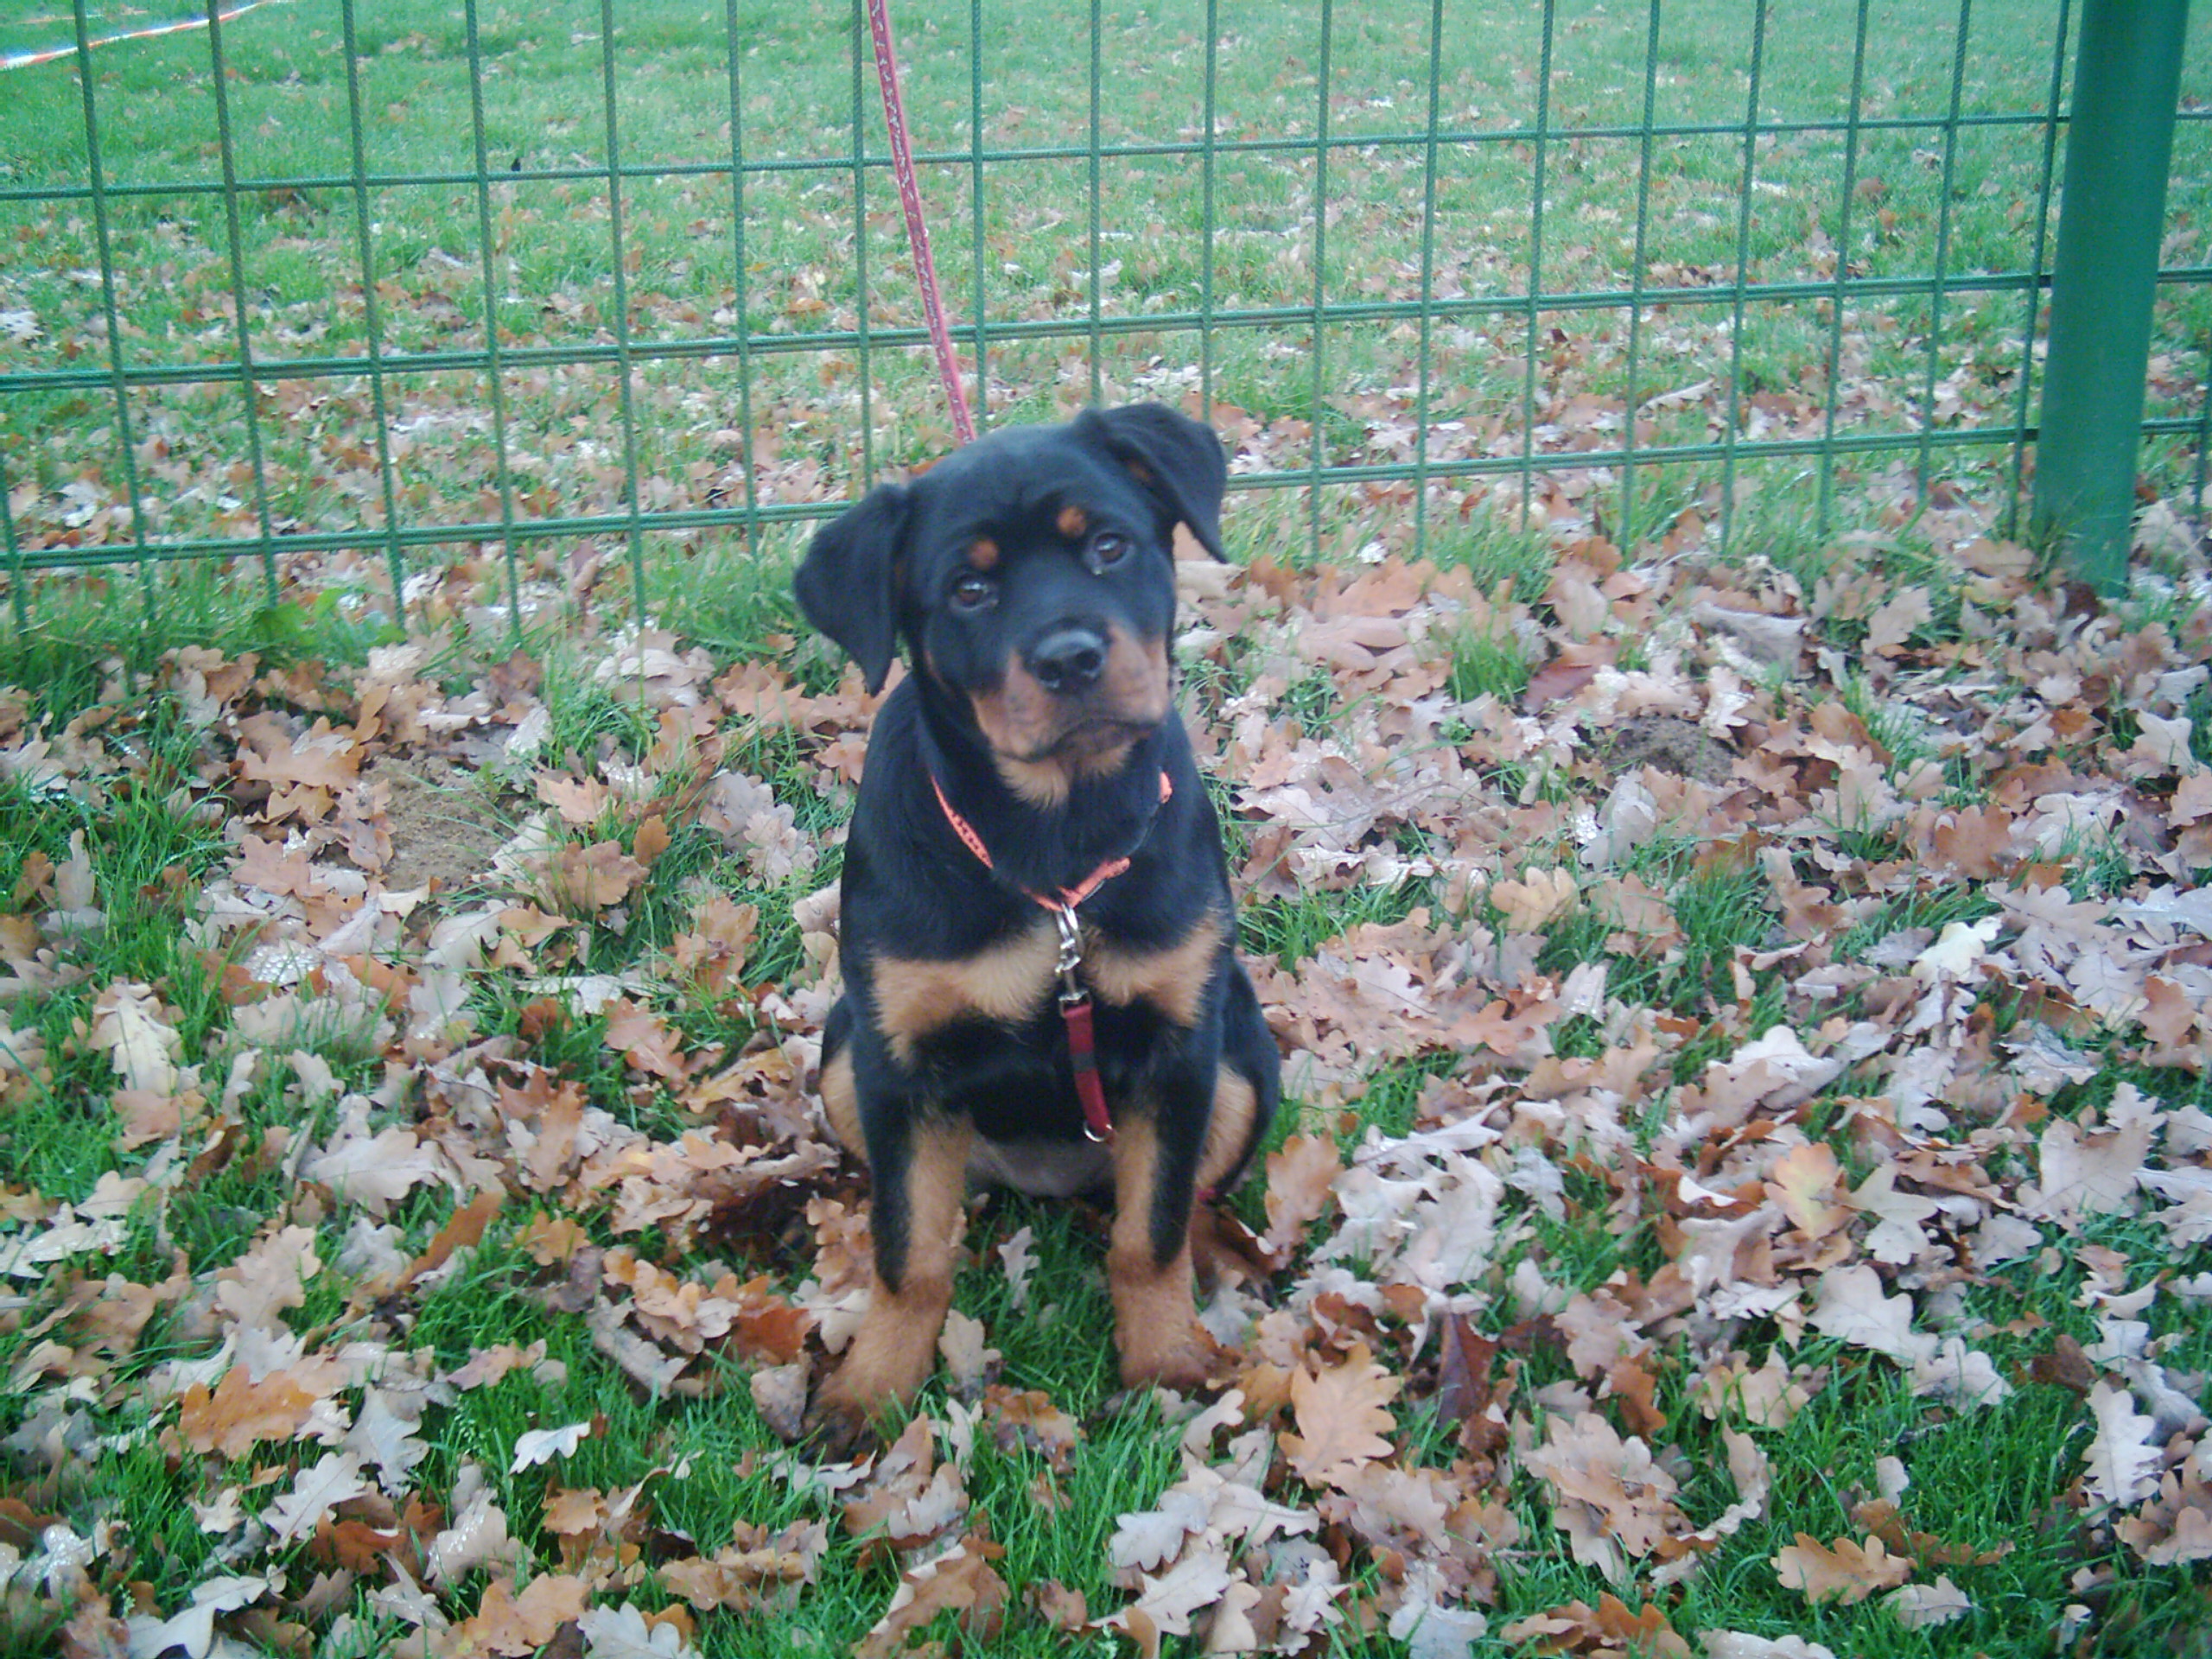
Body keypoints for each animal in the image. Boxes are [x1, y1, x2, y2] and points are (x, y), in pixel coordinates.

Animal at [793, 402, 1280, 1437]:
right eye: (970, 589)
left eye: (1109, 546)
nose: (1071, 658)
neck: (1052, 851)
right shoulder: (901, 1065)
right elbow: (909, 1255)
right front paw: (873, 1391)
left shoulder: (1178, 1048)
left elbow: (1150, 1234)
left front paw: (1167, 1363)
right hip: (845, 1053)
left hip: (1243, 1061)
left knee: (1184, 1199)